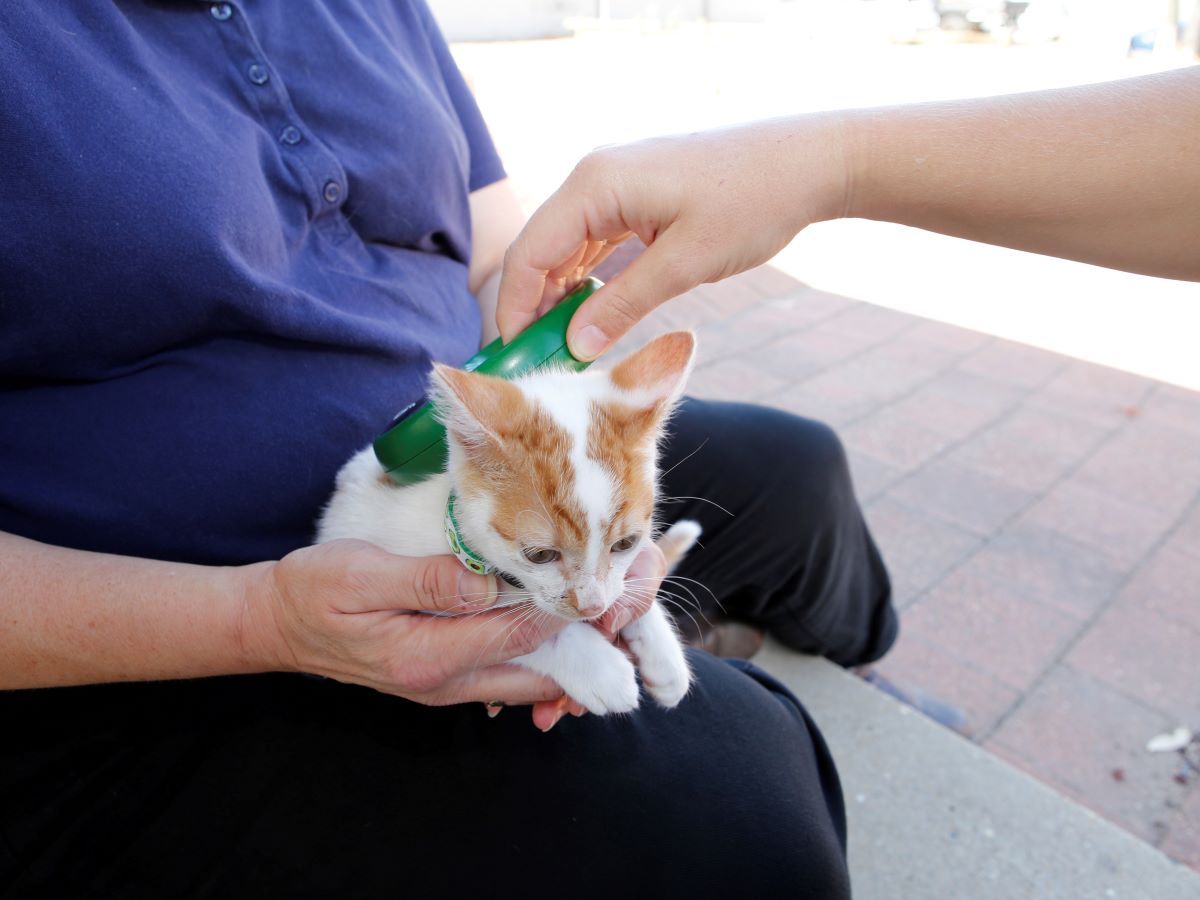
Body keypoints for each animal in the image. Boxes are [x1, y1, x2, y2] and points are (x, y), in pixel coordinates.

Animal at [319, 333, 700, 720]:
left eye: (626, 543)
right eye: (540, 555)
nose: (592, 607)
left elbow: (622, 589)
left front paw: (662, 649)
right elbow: (514, 635)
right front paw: (599, 667)